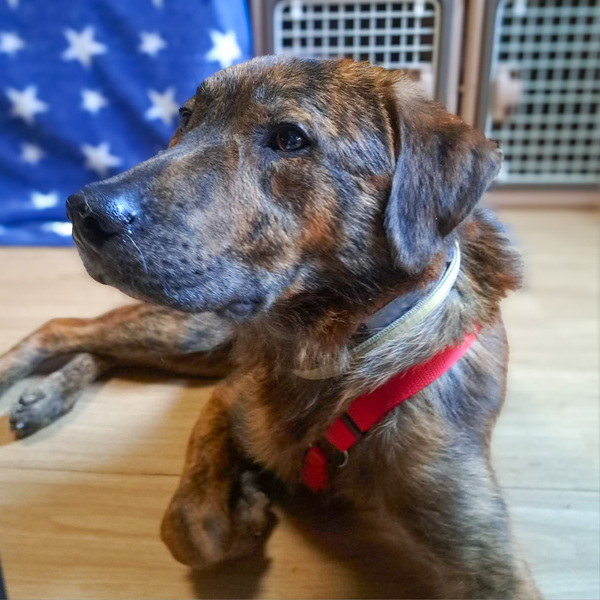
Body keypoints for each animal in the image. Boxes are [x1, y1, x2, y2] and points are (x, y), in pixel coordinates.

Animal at [0, 57, 541, 598]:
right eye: (186, 116)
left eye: (290, 138)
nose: (82, 212)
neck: (333, 348)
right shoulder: (227, 401)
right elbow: (190, 528)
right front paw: (244, 508)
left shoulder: (479, 544)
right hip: (197, 334)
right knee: (63, 325)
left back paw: (46, 395)